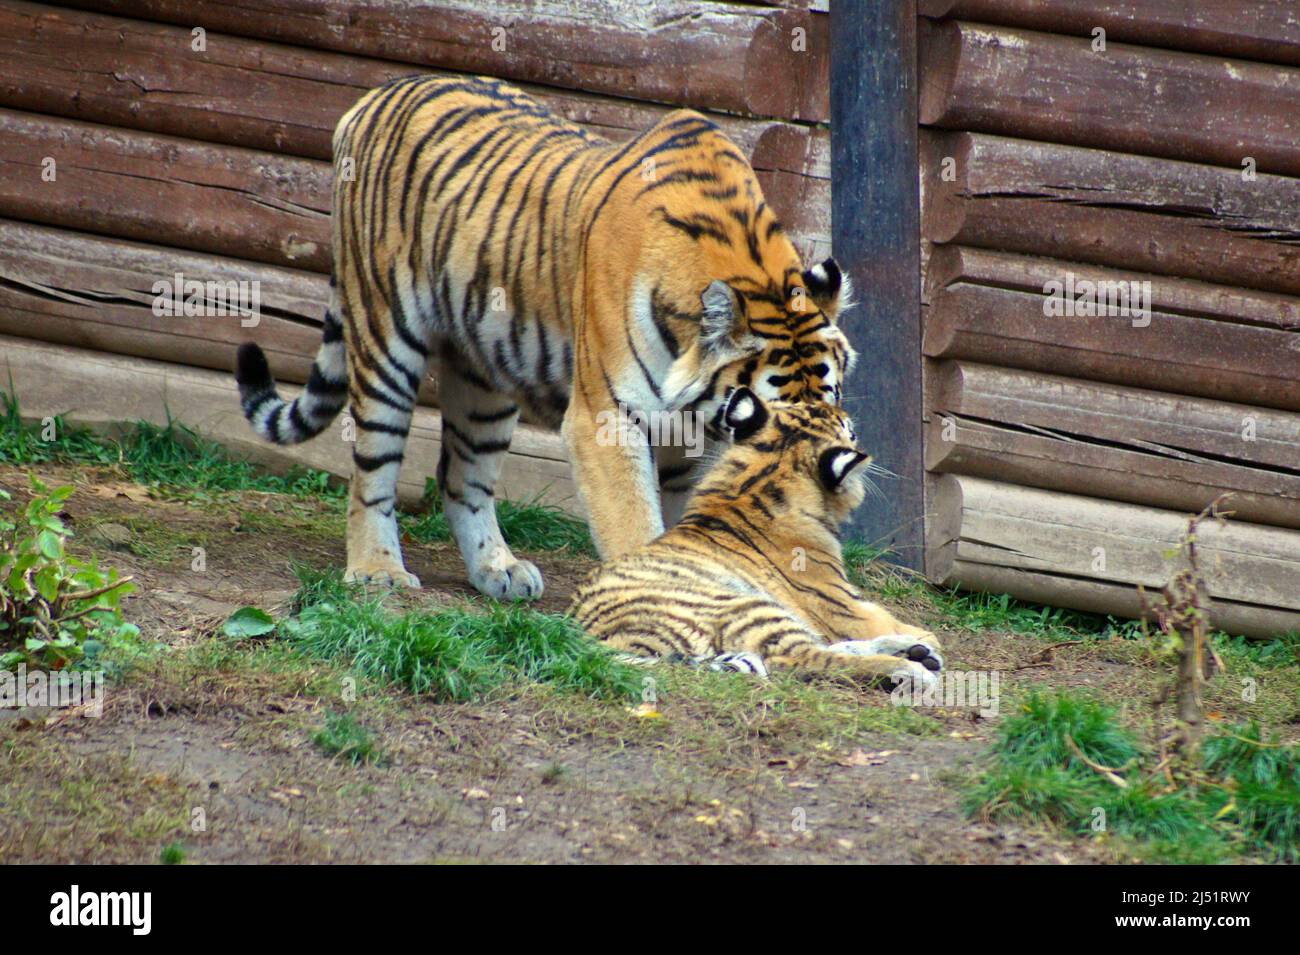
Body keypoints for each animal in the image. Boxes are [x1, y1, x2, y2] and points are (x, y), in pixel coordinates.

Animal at [236, 72, 852, 597]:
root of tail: (373, 96)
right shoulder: (605, 417)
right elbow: (634, 522)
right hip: (385, 338)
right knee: (371, 471)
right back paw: (377, 571)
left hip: (484, 381)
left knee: (461, 479)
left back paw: (498, 570)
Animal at [569, 392, 946, 691]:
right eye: (850, 431)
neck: (760, 479)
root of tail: (605, 642)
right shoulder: (842, 603)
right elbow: (877, 619)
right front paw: (928, 637)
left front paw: (921, 640)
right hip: (750, 606)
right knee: (804, 657)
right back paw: (910, 667)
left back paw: (914, 652)